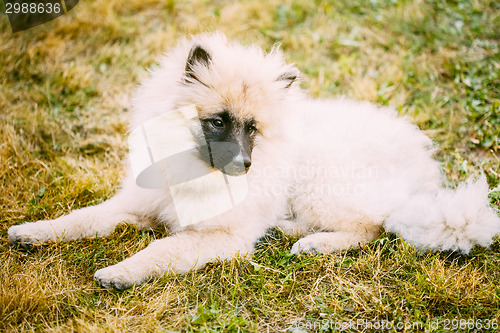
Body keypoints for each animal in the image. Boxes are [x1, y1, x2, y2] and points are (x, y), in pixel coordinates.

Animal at [7, 32, 500, 290]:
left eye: (254, 129)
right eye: (218, 122)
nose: (245, 165)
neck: (195, 172)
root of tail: (426, 176)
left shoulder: (220, 236)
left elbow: (162, 250)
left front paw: (119, 272)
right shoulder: (135, 205)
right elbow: (81, 218)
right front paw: (33, 232)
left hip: (320, 181)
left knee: (374, 227)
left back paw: (313, 243)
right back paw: (289, 229)